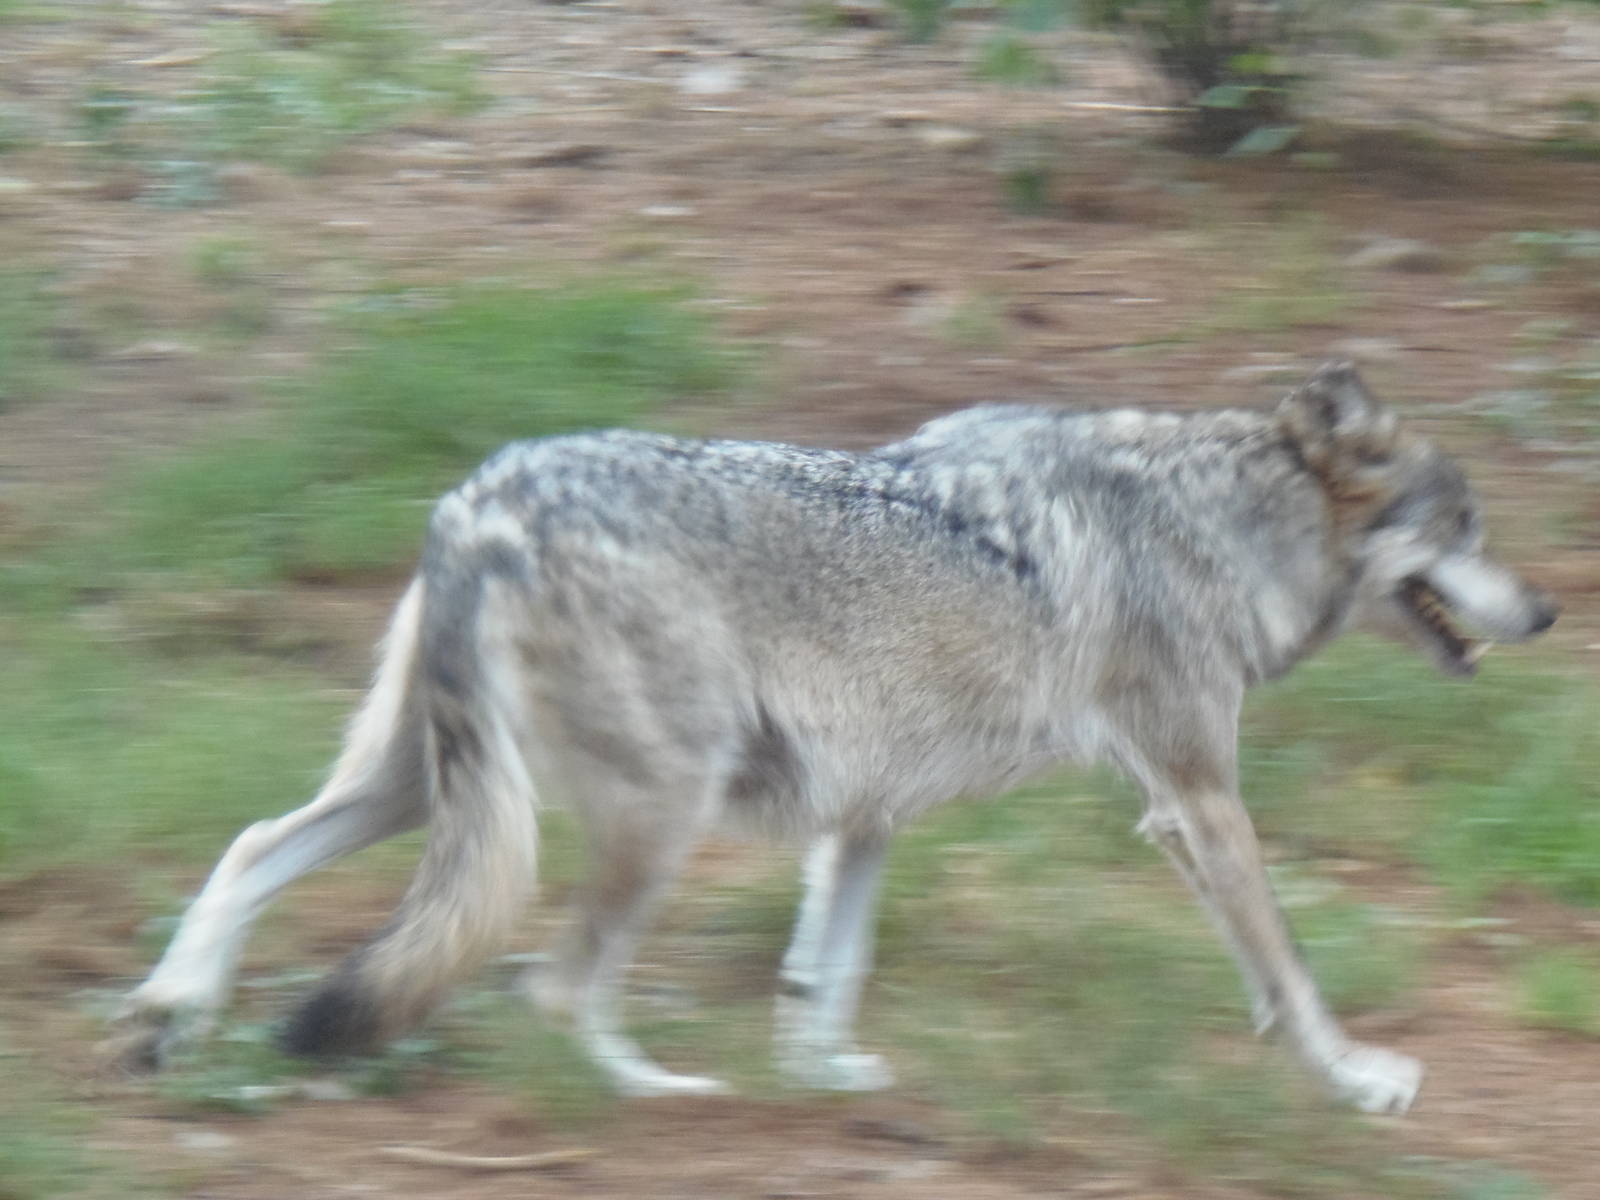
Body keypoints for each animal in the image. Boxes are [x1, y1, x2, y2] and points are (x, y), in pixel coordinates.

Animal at [112, 363, 1555, 1114]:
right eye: (1468, 526)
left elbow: (825, 969)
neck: (1214, 525)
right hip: (653, 813)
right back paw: (658, 1093)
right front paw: (1355, 1078)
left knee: (251, 846)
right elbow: (1293, 972)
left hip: (428, 793)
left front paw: (825, 1075)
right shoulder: (1195, 795)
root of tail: (481, 497)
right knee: (554, 985)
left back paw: (170, 1016)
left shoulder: (864, 809)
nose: (1546, 611)